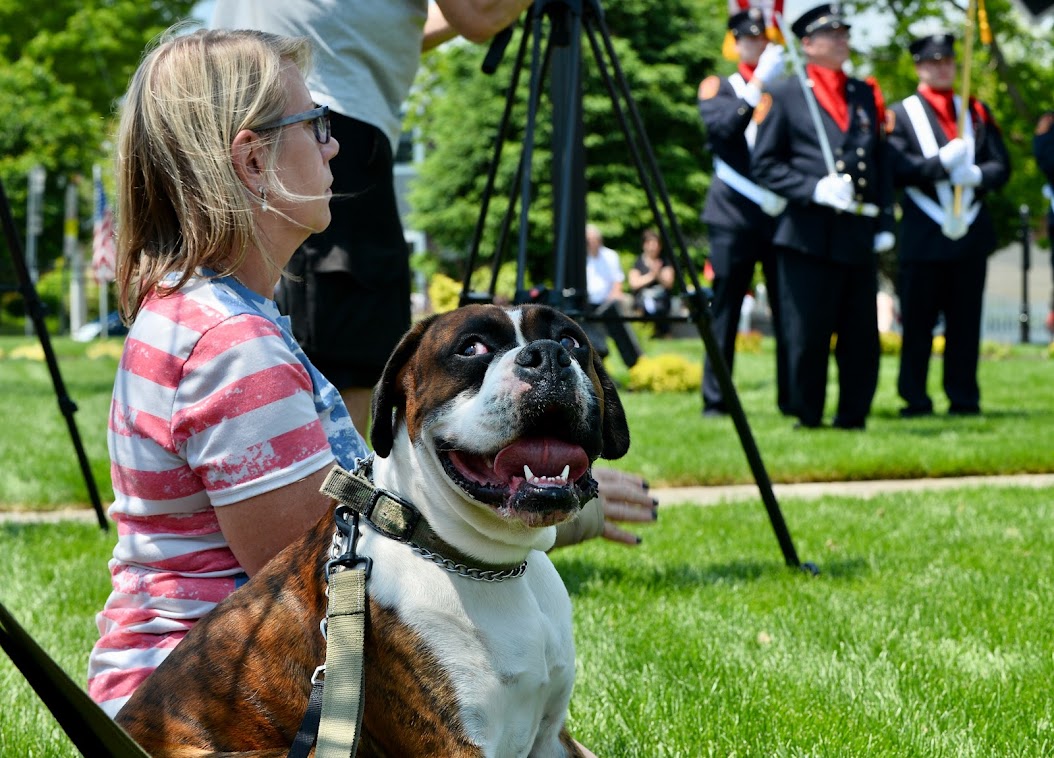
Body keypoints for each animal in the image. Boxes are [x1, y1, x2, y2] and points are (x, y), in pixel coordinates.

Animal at [117, 303, 623, 758]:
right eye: (472, 348)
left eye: (571, 341)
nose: (548, 355)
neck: (487, 562)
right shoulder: (454, 747)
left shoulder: (550, 739)